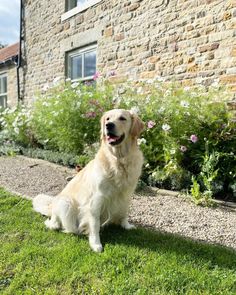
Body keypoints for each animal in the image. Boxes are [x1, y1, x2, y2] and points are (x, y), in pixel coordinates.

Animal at [32, 110, 144, 253]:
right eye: (108, 118)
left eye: (122, 118)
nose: (108, 125)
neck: (118, 159)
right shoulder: (97, 198)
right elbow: (95, 223)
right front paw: (96, 243)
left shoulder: (127, 193)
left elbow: (124, 211)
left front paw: (126, 225)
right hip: (66, 203)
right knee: (55, 224)